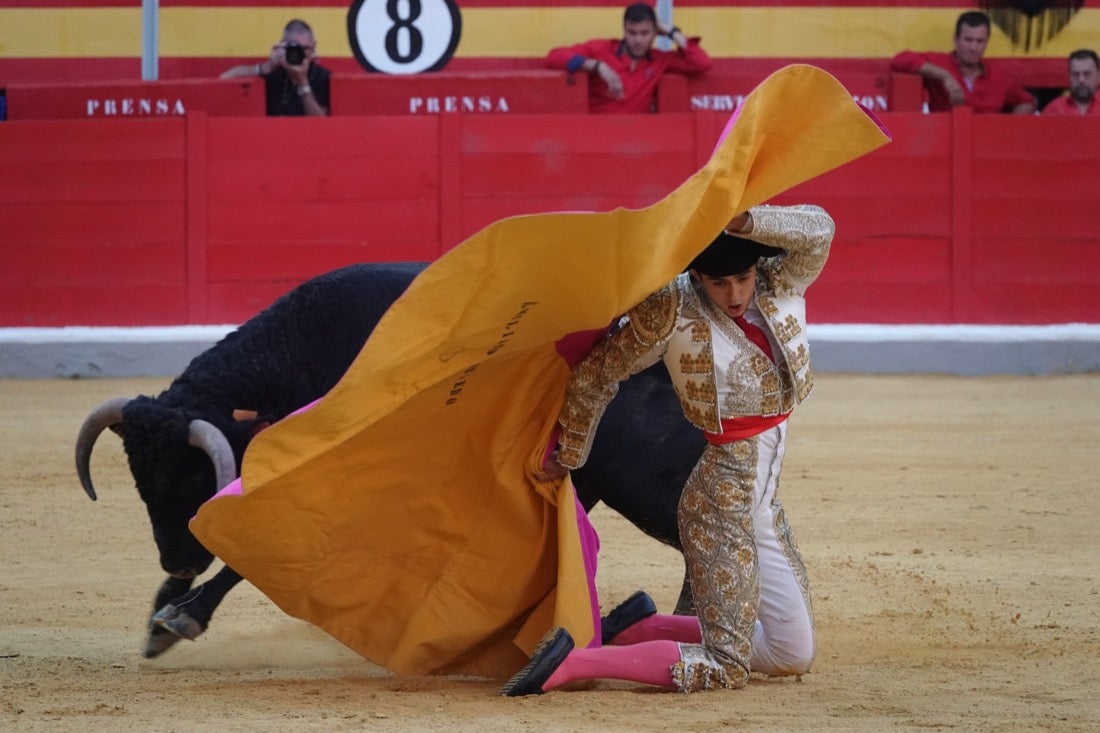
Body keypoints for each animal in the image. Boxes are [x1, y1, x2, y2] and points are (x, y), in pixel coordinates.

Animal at [75, 259, 704, 651]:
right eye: (141, 482)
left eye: (191, 481)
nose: (176, 564)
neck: (297, 360)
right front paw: (163, 618)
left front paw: (182, 613)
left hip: (639, 478)